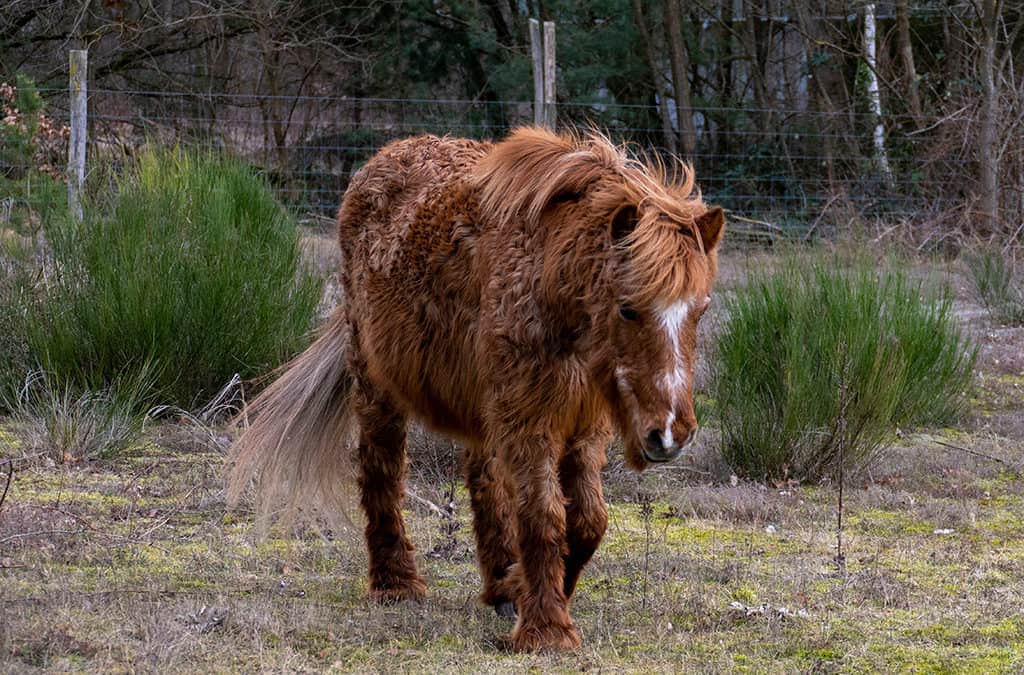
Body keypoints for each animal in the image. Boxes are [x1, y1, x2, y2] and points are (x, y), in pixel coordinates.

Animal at [230, 125, 729, 651]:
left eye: (701, 309)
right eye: (628, 308)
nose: (670, 434)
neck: (548, 277)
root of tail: (380, 160)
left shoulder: (582, 425)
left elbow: (589, 521)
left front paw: (528, 587)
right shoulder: (530, 419)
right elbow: (544, 517)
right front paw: (546, 628)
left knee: (483, 479)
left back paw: (498, 584)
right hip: (376, 384)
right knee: (381, 470)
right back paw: (395, 583)